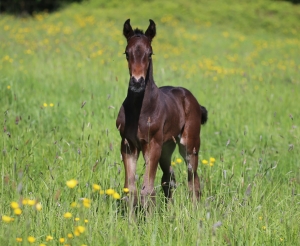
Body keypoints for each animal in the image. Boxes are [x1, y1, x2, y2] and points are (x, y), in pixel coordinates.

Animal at [116, 19, 207, 208]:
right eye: (127, 53)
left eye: (150, 54)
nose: (137, 83)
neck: (140, 111)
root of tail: (190, 97)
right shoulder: (128, 145)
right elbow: (131, 189)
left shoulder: (153, 145)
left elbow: (147, 190)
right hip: (167, 147)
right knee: (169, 176)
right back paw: (169, 209)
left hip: (190, 145)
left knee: (193, 178)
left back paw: (195, 209)